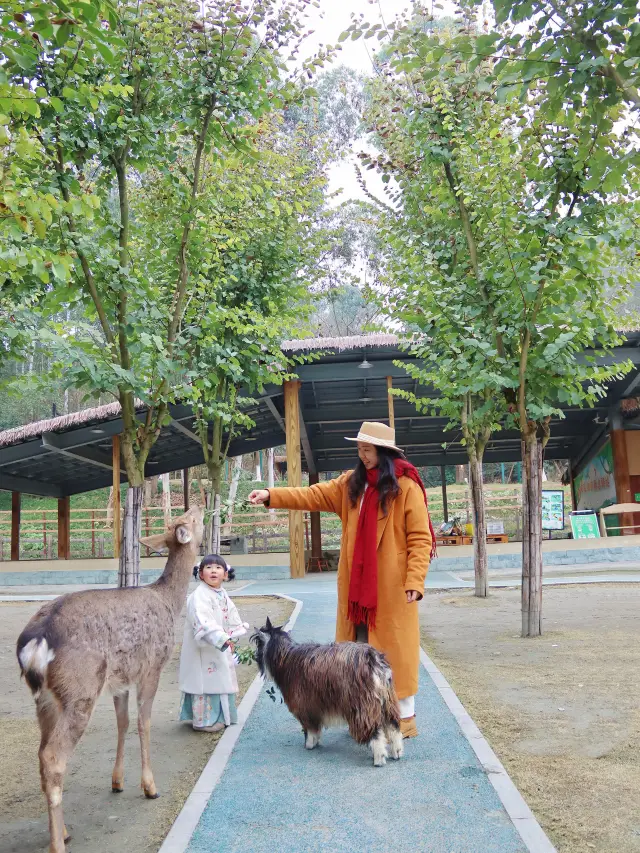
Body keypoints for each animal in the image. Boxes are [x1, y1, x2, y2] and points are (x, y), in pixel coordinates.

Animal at [15, 506, 205, 852]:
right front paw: (150, 787)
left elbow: (123, 722)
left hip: (45, 698)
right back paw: (58, 843)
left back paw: (63, 830)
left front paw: (117, 781)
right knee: (52, 756)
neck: (169, 604)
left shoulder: (120, 679)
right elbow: (144, 723)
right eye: (191, 520)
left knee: (41, 753)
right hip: (81, 689)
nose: (200, 506)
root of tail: (35, 641)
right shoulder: (151, 667)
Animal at [252, 616, 402, 768]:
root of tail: (374, 660)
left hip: (363, 704)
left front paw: (309, 744)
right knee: (393, 725)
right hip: (387, 700)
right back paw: (397, 752)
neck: (287, 659)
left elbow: (310, 728)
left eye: (259, 643)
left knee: (374, 730)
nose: (254, 657)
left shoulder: (304, 704)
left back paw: (379, 759)